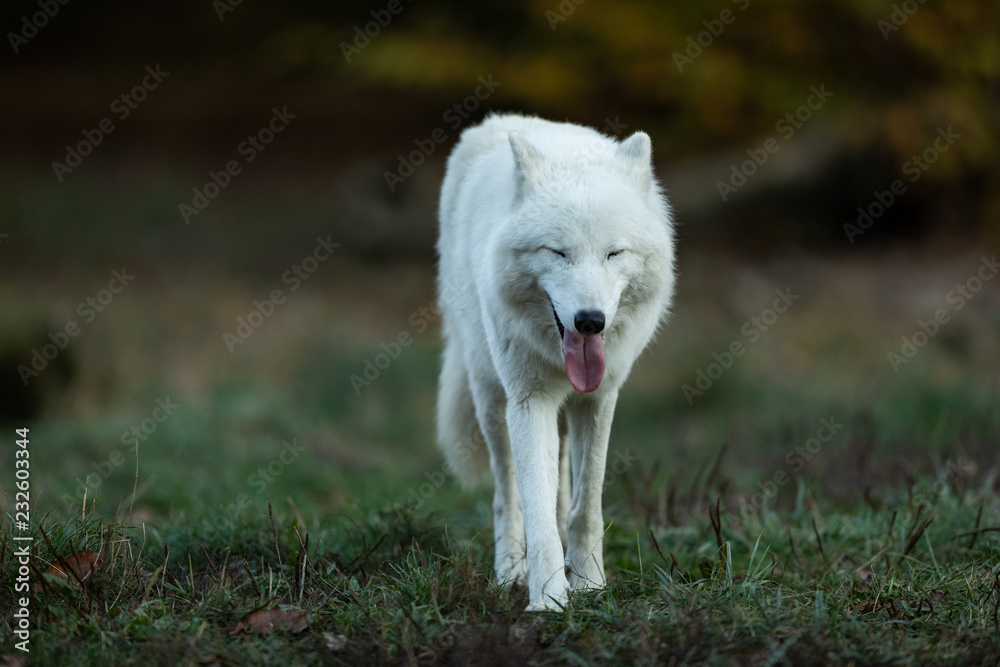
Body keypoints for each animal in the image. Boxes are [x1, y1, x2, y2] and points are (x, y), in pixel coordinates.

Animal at [435, 113, 675, 611]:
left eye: (614, 252)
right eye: (558, 252)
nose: (590, 321)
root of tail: (501, 119)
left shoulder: (599, 399)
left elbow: (586, 504)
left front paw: (587, 582)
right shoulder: (529, 402)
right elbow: (536, 507)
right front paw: (547, 598)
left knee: (562, 483)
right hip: (491, 398)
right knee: (506, 494)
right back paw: (509, 571)